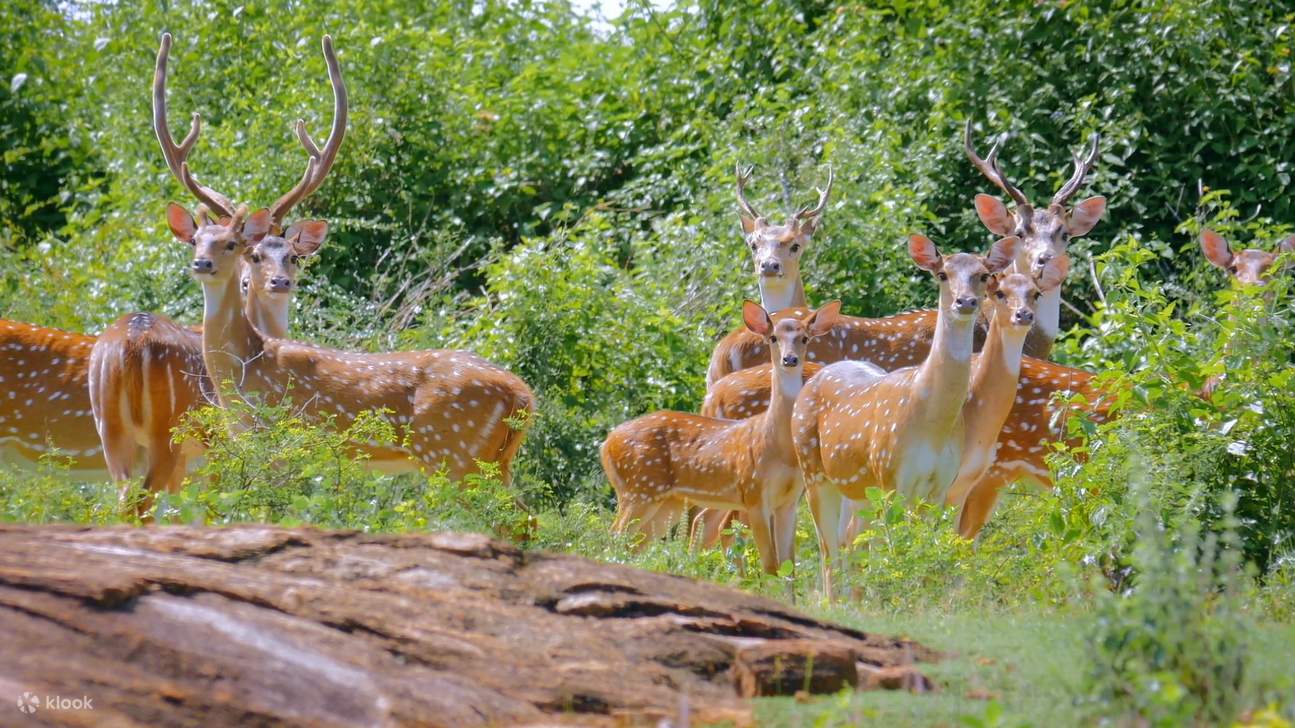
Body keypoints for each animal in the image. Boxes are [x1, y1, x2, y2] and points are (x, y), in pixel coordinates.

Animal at [86, 32, 344, 510]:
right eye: (251, 257)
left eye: (294, 256)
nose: (279, 283)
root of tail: (129, 346)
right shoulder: (227, 452)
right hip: (169, 437)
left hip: (110, 433)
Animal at [603, 300, 844, 572]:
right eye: (773, 337)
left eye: (804, 338)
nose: (789, 359)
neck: (777, 445)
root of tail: (606, 444)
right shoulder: (754, 494)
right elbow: (771, 565)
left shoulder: (787, 501)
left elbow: (788, 566)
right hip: (637, 490)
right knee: (614, 538)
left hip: (666, 501)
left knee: (637, 544)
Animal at [792, 235, 1015, 593]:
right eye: (942, 274)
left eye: (983, 275)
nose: (965, 302)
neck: (932, 424)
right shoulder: (893, 477)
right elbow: (896, 551)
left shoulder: (940, 485)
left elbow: (926, 553)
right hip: (812, 470)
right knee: (828, 550)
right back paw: (833, 599)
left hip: (859, 488)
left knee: (850, 541)